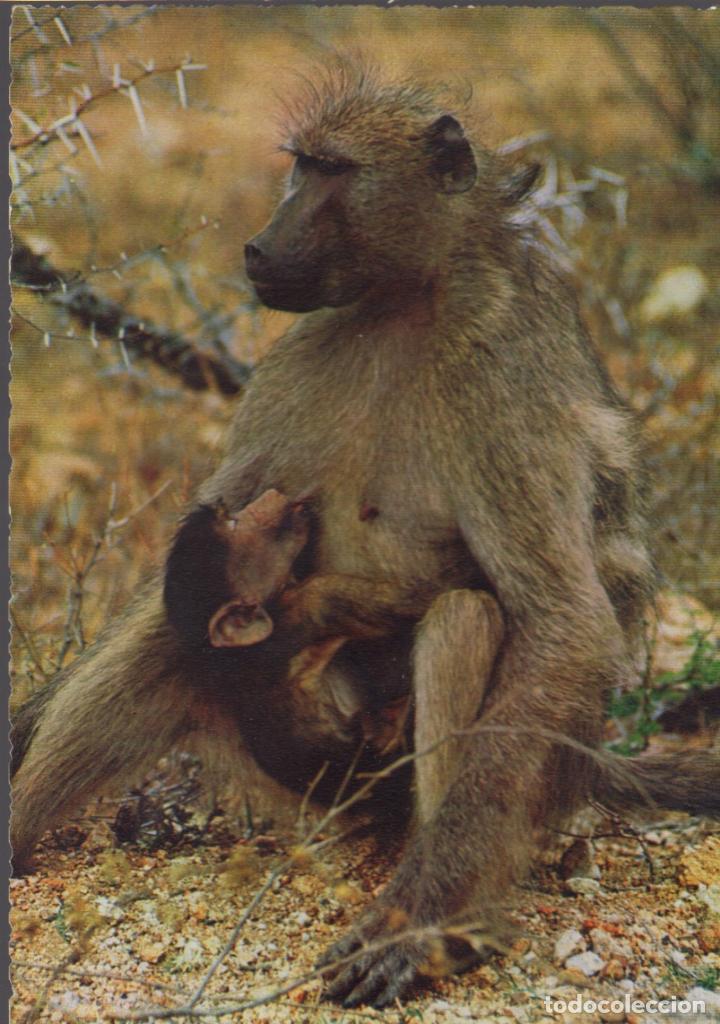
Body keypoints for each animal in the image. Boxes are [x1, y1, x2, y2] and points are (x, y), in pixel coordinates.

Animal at [12, 60, 719, 1008]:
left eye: (332, 171)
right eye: (299, 165)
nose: (258, 248)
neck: (406, 301)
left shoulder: (499, 367)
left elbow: (563, 620)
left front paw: (407, 923)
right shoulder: (295, 362)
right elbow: (185, 565)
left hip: (509, 781)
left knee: (466, 620)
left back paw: (454, 927)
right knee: (171, 628)